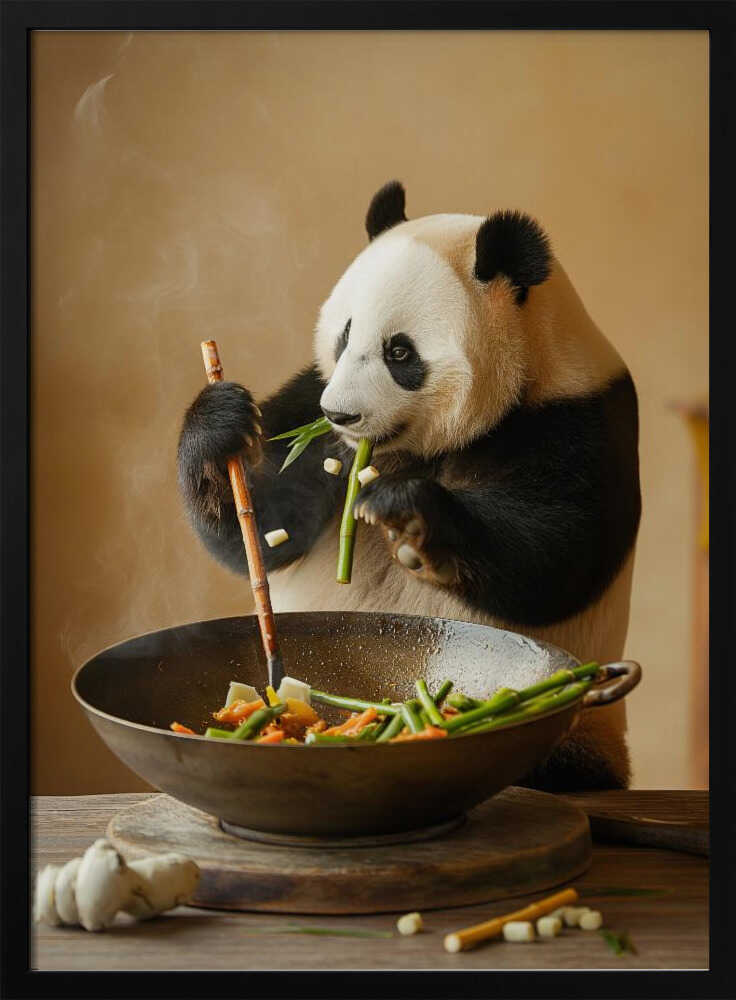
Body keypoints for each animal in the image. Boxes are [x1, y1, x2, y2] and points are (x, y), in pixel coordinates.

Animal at [178, 180, 641, 790]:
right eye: (345, 335)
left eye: (400, 352)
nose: (341, 414)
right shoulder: (312, 401)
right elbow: (269, 521)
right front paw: (222, 426)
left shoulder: (577, 416)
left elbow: (556, 554)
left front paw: (407, 517)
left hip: (583, 735)